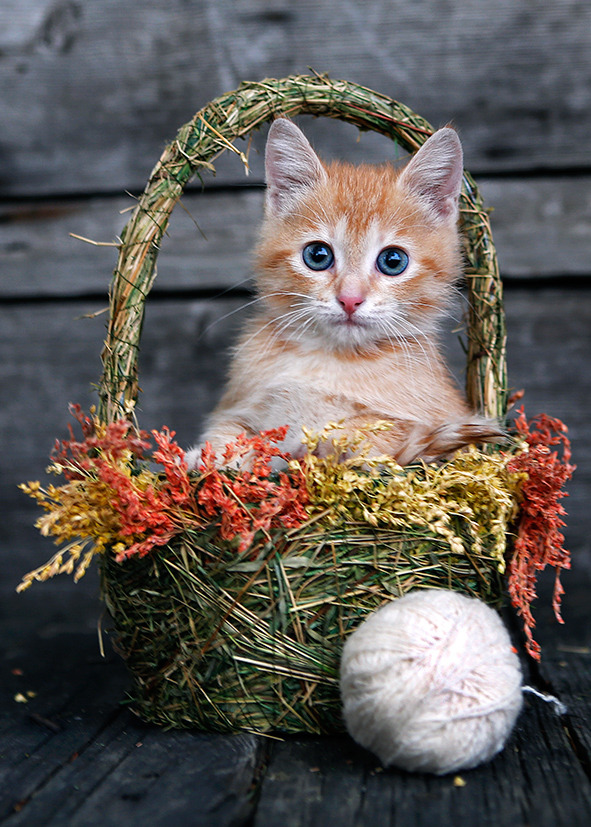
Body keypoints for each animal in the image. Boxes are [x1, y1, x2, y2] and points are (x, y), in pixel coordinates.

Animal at [187, 115, 502, 472]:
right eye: (318, 255)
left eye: (393, 261)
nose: (350, 299)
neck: (334, 360)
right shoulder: (236, 405)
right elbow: (229, 430)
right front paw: (210, 455)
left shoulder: (443, 418)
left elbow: (385, 432)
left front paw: (323, 445)